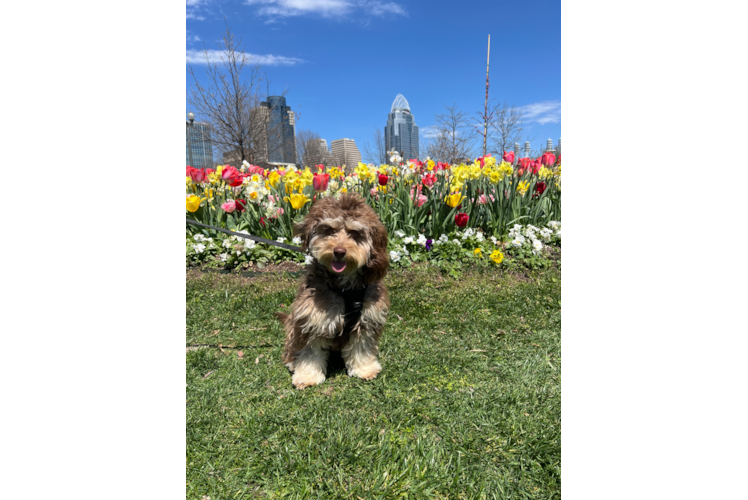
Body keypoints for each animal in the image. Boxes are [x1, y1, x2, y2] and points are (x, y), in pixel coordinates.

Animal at [276, 193, 392, 388]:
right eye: (329, 230)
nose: (339, 251)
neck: (345, 289)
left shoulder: (367, 321)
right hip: (293, 324)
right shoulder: (311, 320)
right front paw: (307, 376)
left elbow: (362, 348)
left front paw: (365, 369)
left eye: (355, 233)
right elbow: (309, 353)